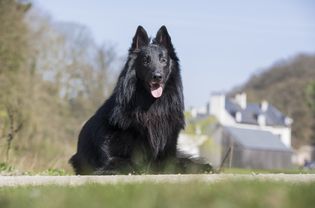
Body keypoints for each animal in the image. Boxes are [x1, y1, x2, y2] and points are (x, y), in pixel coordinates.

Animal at [70, 26, 211, 176]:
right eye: (145, 61)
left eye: (163, 60)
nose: (157, 76)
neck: (152, 107)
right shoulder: (114, 160)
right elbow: (130, 164)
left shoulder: (168, 155)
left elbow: (180, 164)